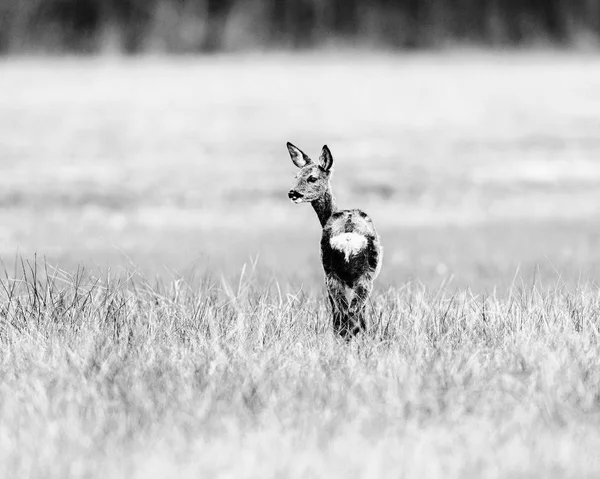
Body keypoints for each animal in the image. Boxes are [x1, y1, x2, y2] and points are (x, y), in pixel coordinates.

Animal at [288, 142, 384, 338]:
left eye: (312, 178)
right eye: (296, 176)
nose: (293, 193)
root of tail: (348, 235)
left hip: (335, 271)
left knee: (347, 312)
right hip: (355, 274)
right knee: (350, 312)